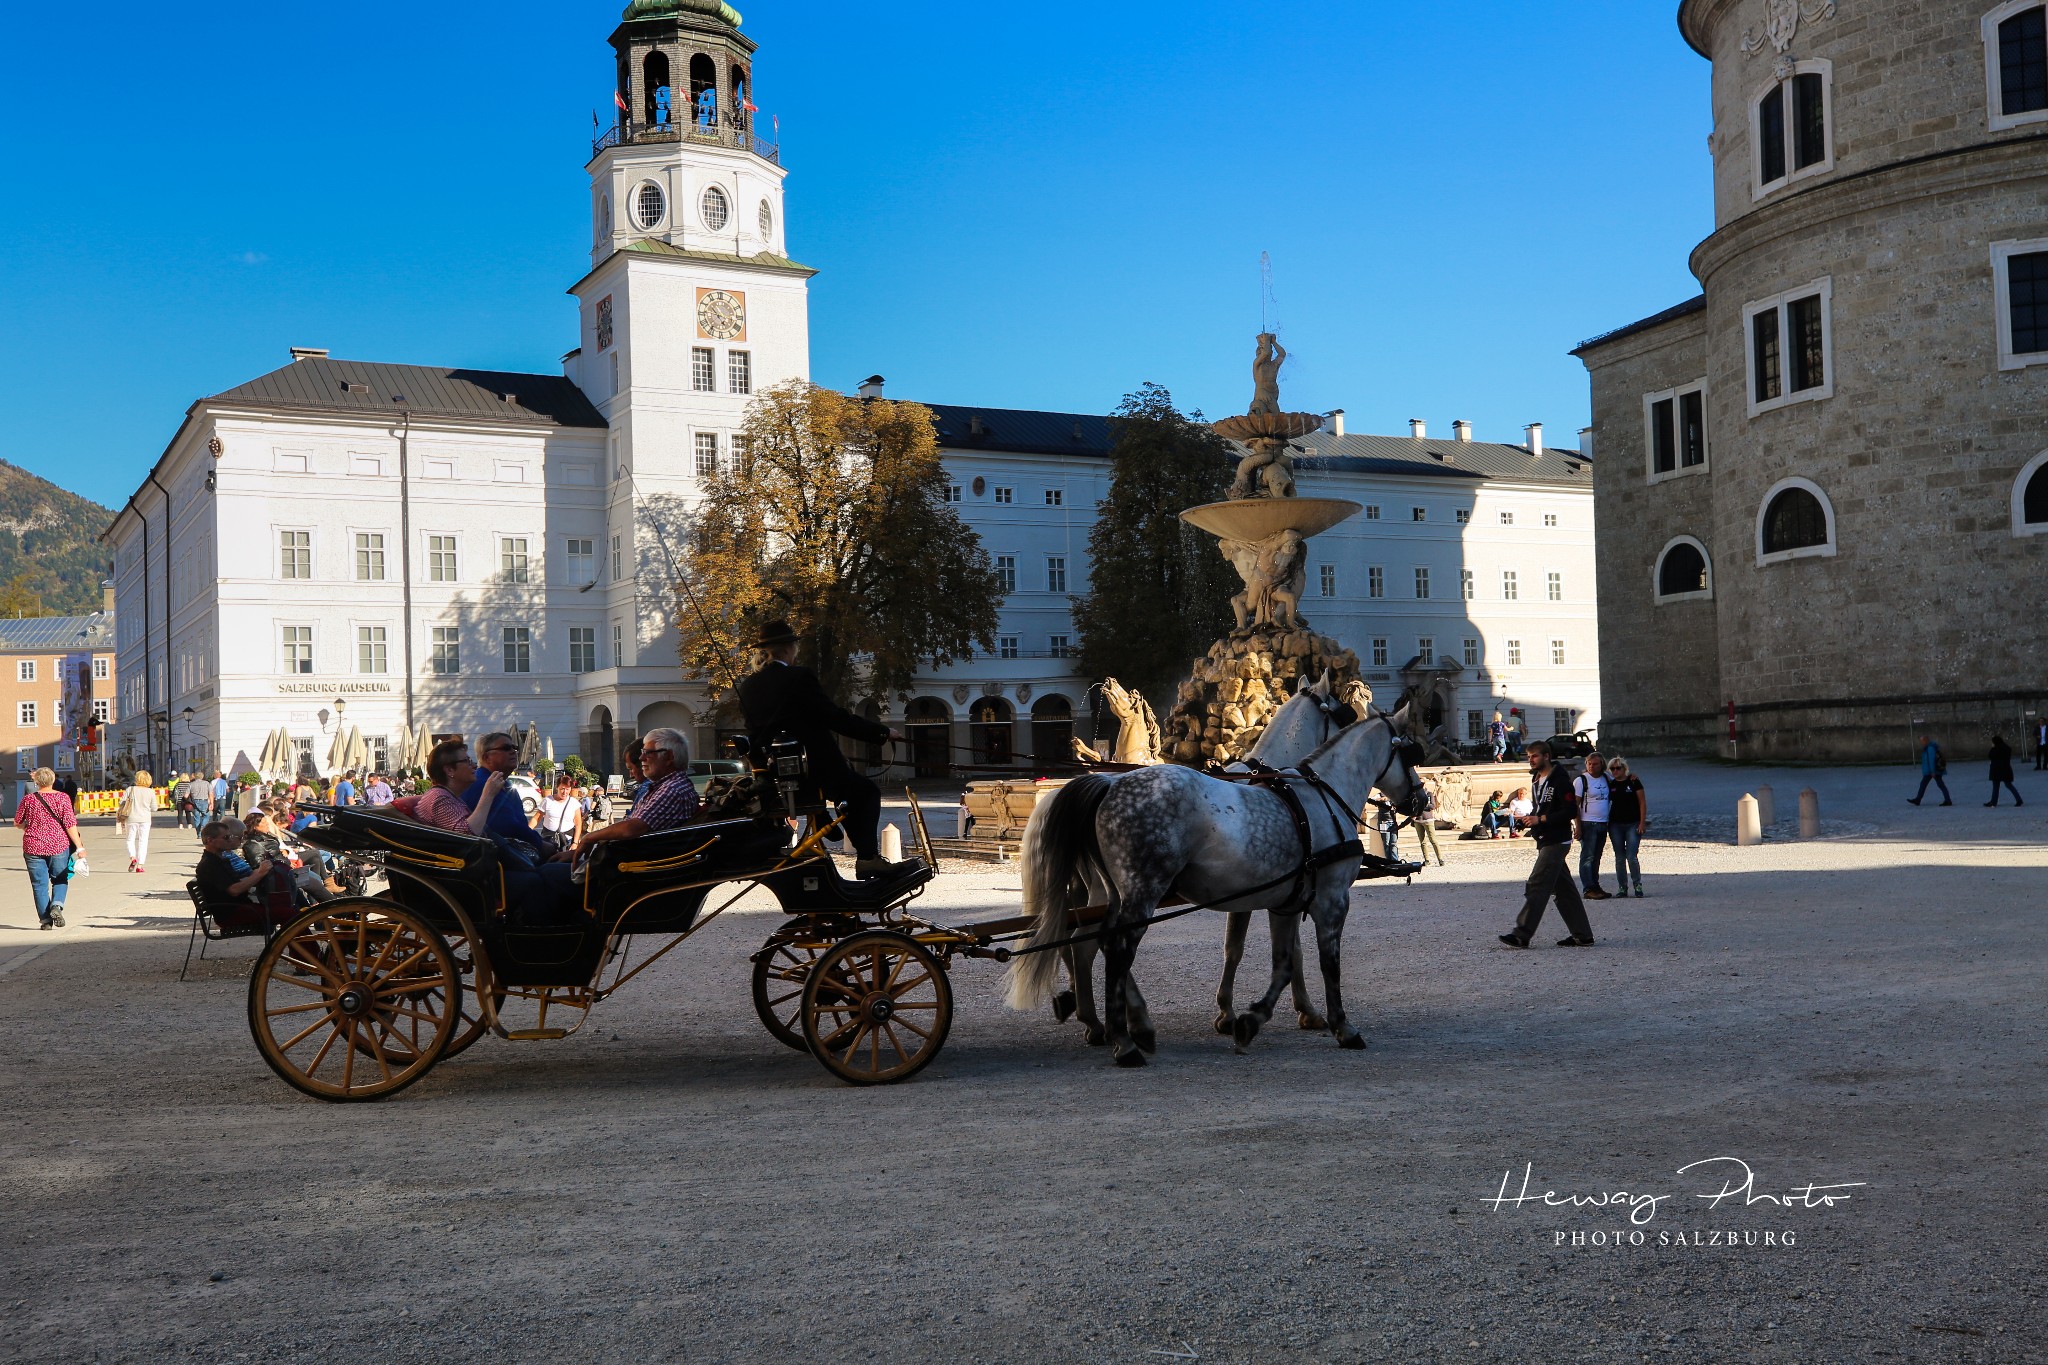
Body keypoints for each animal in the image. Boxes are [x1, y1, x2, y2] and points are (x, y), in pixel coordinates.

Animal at [1007, 712, 1425, 1072]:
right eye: (1411, 752)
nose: (1423, 798)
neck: (1323, 799)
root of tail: (1109, 785)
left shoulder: (1284, 905)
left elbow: (1283, 963)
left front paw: (1250, 1020)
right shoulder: (1332, 899)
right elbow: (1328, 964)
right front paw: (1342, 1026)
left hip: (1113, 893)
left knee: (1092, 943)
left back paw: (1113, 1025)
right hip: (1143, 892)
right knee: (1117, 949)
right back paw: (1124, 1041)